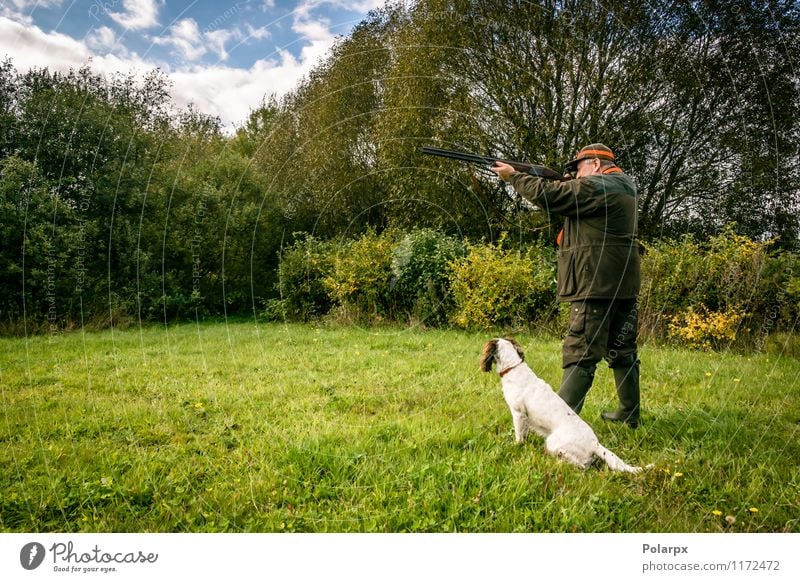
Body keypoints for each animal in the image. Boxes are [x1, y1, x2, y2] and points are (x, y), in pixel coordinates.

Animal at [482, 338, 644, 474]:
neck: (513, 367)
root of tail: (595, 444)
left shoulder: (518, 413)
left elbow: (519, 436)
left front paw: (516, 446)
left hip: (552, 442)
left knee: (582, 465)